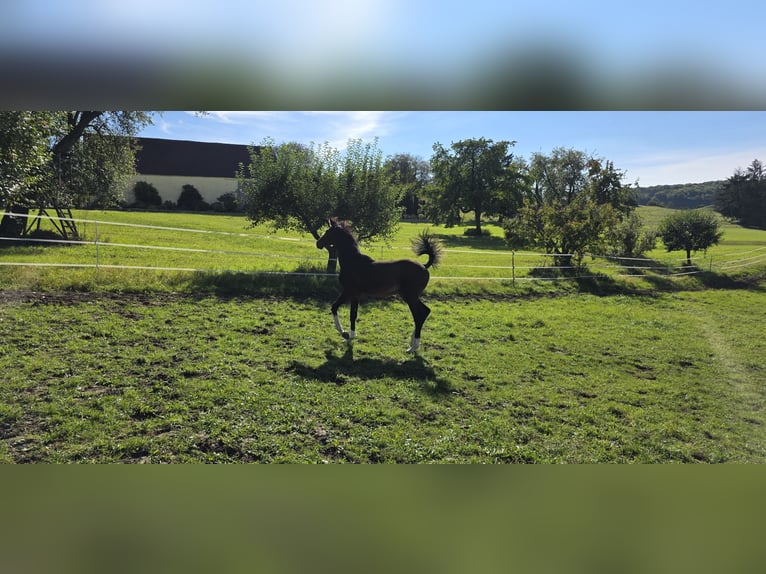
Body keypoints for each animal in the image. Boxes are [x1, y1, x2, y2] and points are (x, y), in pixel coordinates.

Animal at [315, 218, 443, 353]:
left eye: (328, 232)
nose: (318, 243)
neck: (353, 262)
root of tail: (424, 266)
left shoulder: (348, 291)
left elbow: (334, 307)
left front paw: (344, 333)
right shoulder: (355, 295)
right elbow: (353, 315)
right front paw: (350, 337)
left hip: (410, 296)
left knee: (420, 314)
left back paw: (413, 347)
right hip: (408, 296)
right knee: (423, 313)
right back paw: (411, 343)